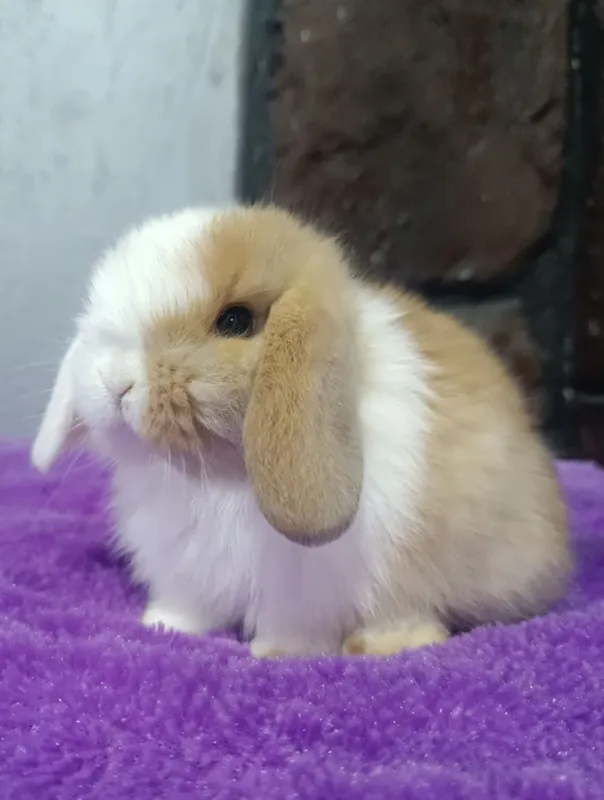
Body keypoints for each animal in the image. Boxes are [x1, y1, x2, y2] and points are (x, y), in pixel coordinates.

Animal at [32, 204, 571, 658]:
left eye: (235, 321)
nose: (115, 382)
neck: (218, 477)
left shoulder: (304, 592)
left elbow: (293, 628)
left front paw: (277, 654)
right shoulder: (188, 572)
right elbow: (189, 606)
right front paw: (161, 626)